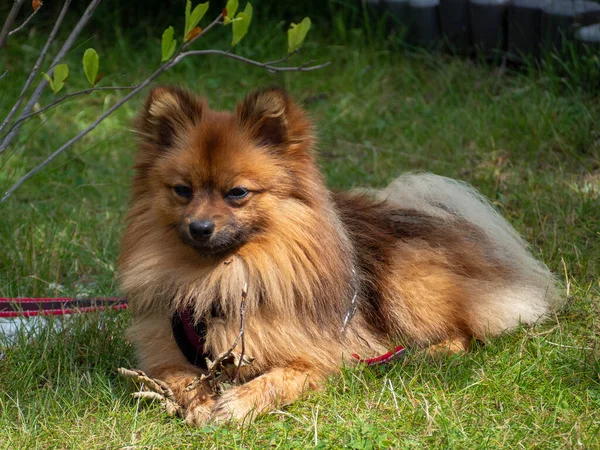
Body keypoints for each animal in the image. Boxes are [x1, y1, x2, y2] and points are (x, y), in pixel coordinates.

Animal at [120, 85, 564, 426]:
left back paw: (424, 355)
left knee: (465, 332)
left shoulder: (325, 355)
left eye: (237, 193)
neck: (222, 278)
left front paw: (238, 402)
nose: (200, 227)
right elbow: (179, 377)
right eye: (183, 191)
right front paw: (199, 400)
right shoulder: (163, 352)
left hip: (406, 286)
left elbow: (280, 377)